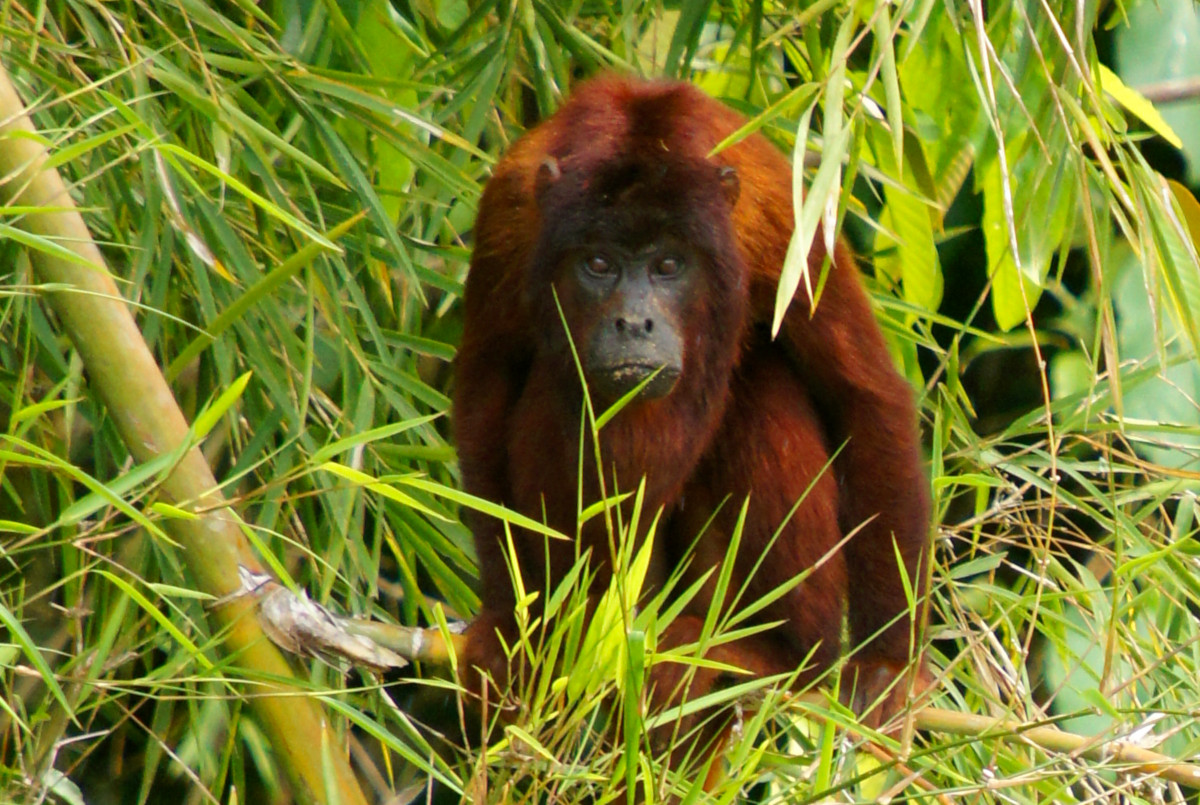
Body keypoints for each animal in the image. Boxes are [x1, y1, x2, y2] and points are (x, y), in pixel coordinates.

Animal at [453, 74, 931, 748]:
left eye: (668, 266)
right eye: (598, 264)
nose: (634, 323)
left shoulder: (778, 220)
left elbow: (862, 395)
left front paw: (887, 666)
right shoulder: (511, 213)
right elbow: (488, 385)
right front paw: (509, 625)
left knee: (761, 385)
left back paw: (772, 655)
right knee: (555, 388)